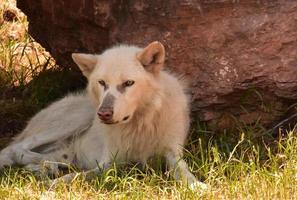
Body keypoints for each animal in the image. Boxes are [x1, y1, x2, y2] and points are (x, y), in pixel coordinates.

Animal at [0, 41, 204, 188]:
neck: (140, 124)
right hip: (77, 118)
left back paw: (46, 167)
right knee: (15, 149)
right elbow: (78, 176)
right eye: (102, 83)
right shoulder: (109, 163)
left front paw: (196, 185)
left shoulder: (173, 152)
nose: (104, 114)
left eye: (128, 83)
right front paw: (53, 184)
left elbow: (182, 170)